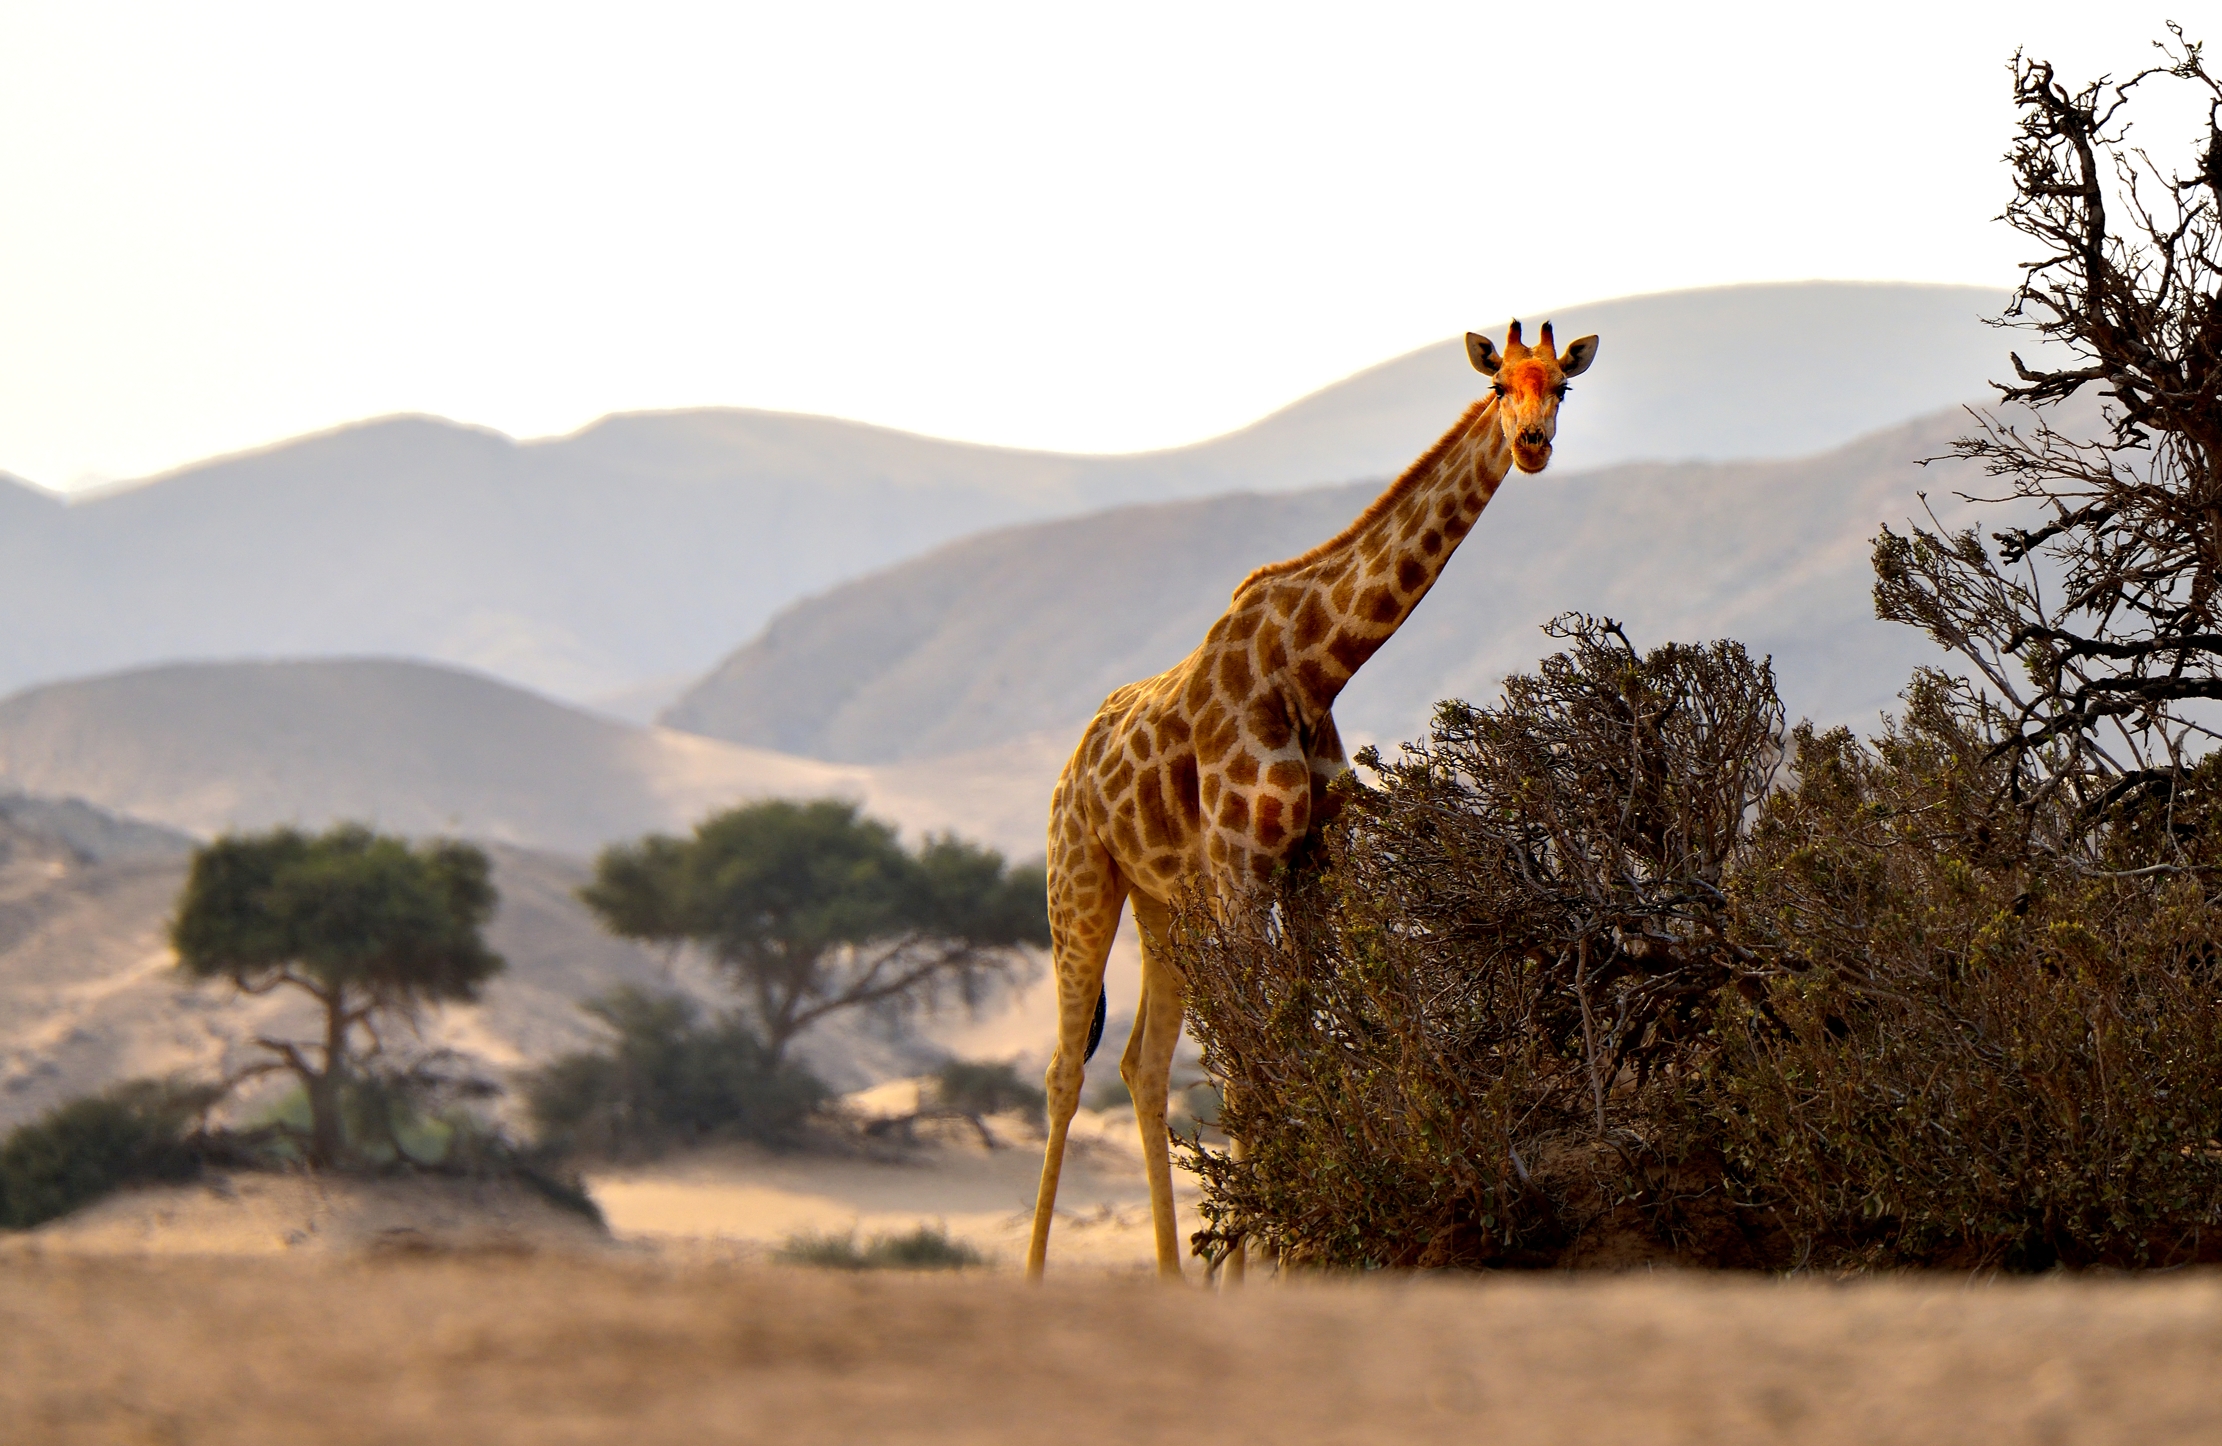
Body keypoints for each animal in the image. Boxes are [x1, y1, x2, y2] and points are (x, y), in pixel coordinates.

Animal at [1026, 320, 1600, 1281]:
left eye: (1561, 386)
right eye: (1497, 388)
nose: (1531, 445)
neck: (1309, 665)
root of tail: (1071, 772)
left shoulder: (1313, 865)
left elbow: (1295, 1044)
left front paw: (1271, 1262)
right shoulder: (1245, 868)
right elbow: (1257, 1065)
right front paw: (1260, 1261)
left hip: (1162, 903)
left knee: (1142, 1065)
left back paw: (1174, 1276)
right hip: (1081, 883)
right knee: (1067, 1070)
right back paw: (1039, 1275)